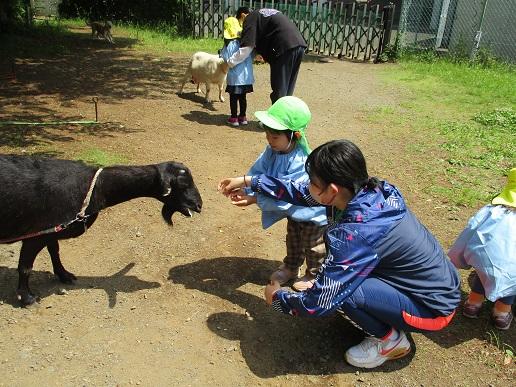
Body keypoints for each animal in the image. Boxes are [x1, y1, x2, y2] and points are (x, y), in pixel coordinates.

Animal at [0, 155, 202, 306]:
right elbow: (25, 267)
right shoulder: (36, 234)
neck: (95, 188)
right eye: (182, 185)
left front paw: (64, 275)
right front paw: (27, 298)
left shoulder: (52, 230)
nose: (199, 205)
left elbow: (54, 251)